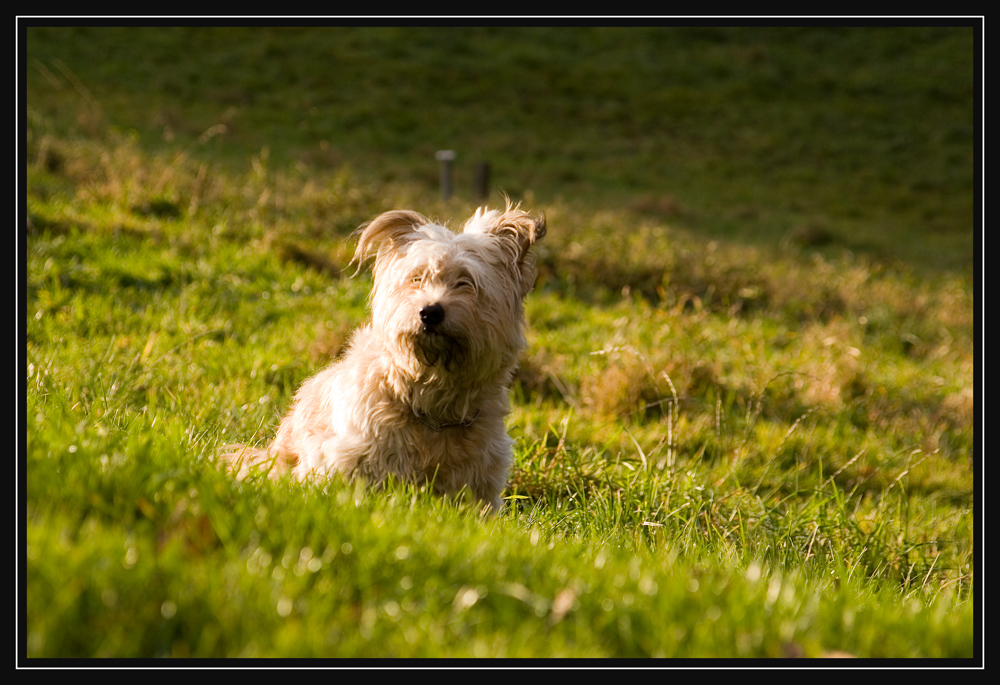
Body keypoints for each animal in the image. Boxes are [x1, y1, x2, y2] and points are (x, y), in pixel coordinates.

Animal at [221, 200, 548, 510]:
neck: (433, 407)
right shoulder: (343, 461)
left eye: (465, 282)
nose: (430, 312)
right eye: (416, 278)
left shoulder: (479, 484)